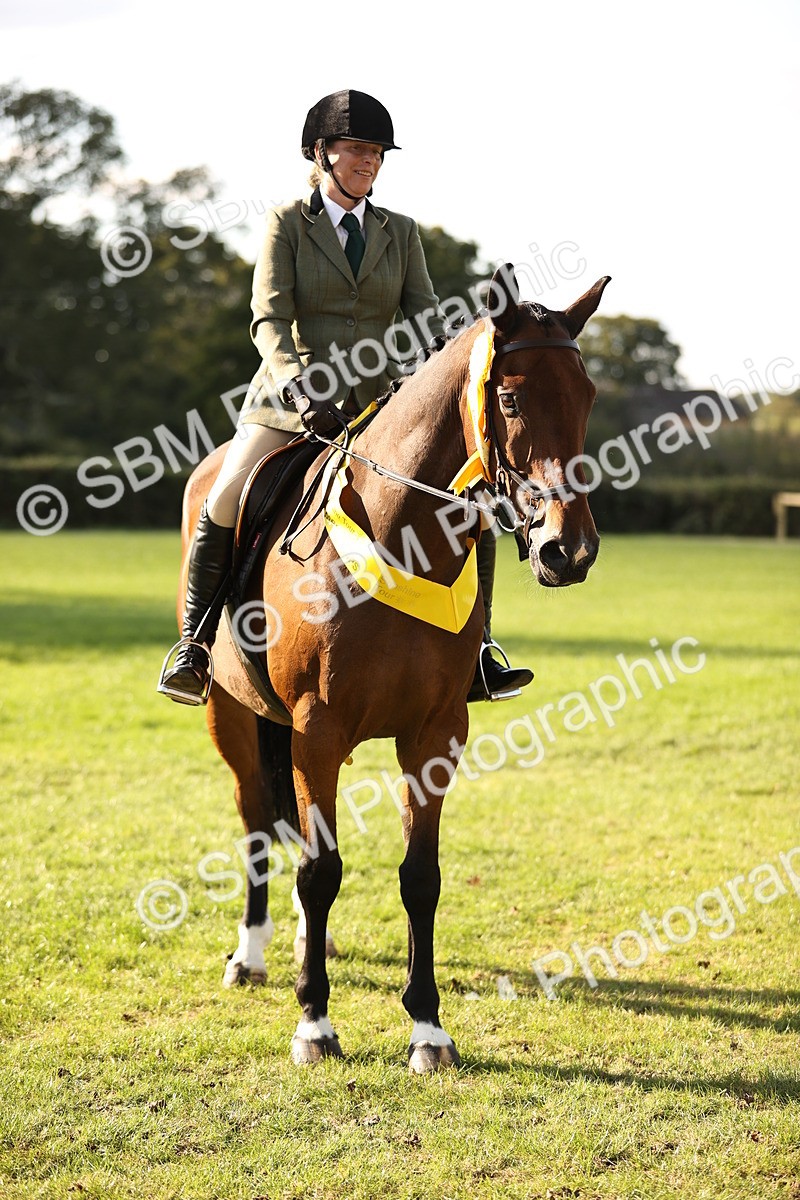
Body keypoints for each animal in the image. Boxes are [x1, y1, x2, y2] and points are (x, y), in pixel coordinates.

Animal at [175, 265, 610, 1072]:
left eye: (588, 394)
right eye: (510, 398)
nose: (569, 550)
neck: (398, 528)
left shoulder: (435, 733)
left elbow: (420, 877)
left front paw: (428, 1027)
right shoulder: (317, 732)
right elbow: (321, 869)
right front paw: (315, 1023)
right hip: (231, 712)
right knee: (256, 820)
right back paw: (251, 955)